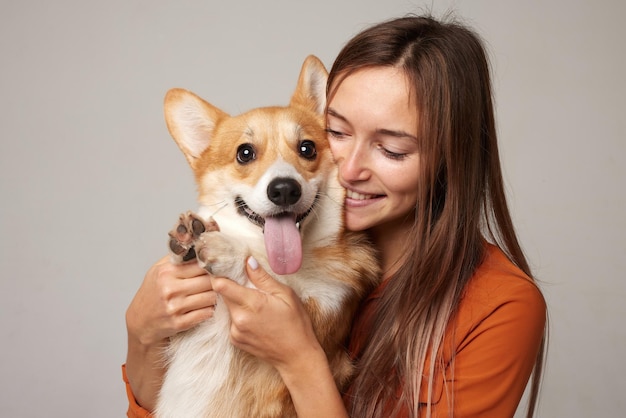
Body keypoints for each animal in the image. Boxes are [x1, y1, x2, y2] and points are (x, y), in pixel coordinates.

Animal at [156, 56, 380, 418]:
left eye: (307, 148)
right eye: (244, 153)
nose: (285, 189)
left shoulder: (323, 316)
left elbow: (264, 276)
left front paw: (226, 250)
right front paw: (190, 238)